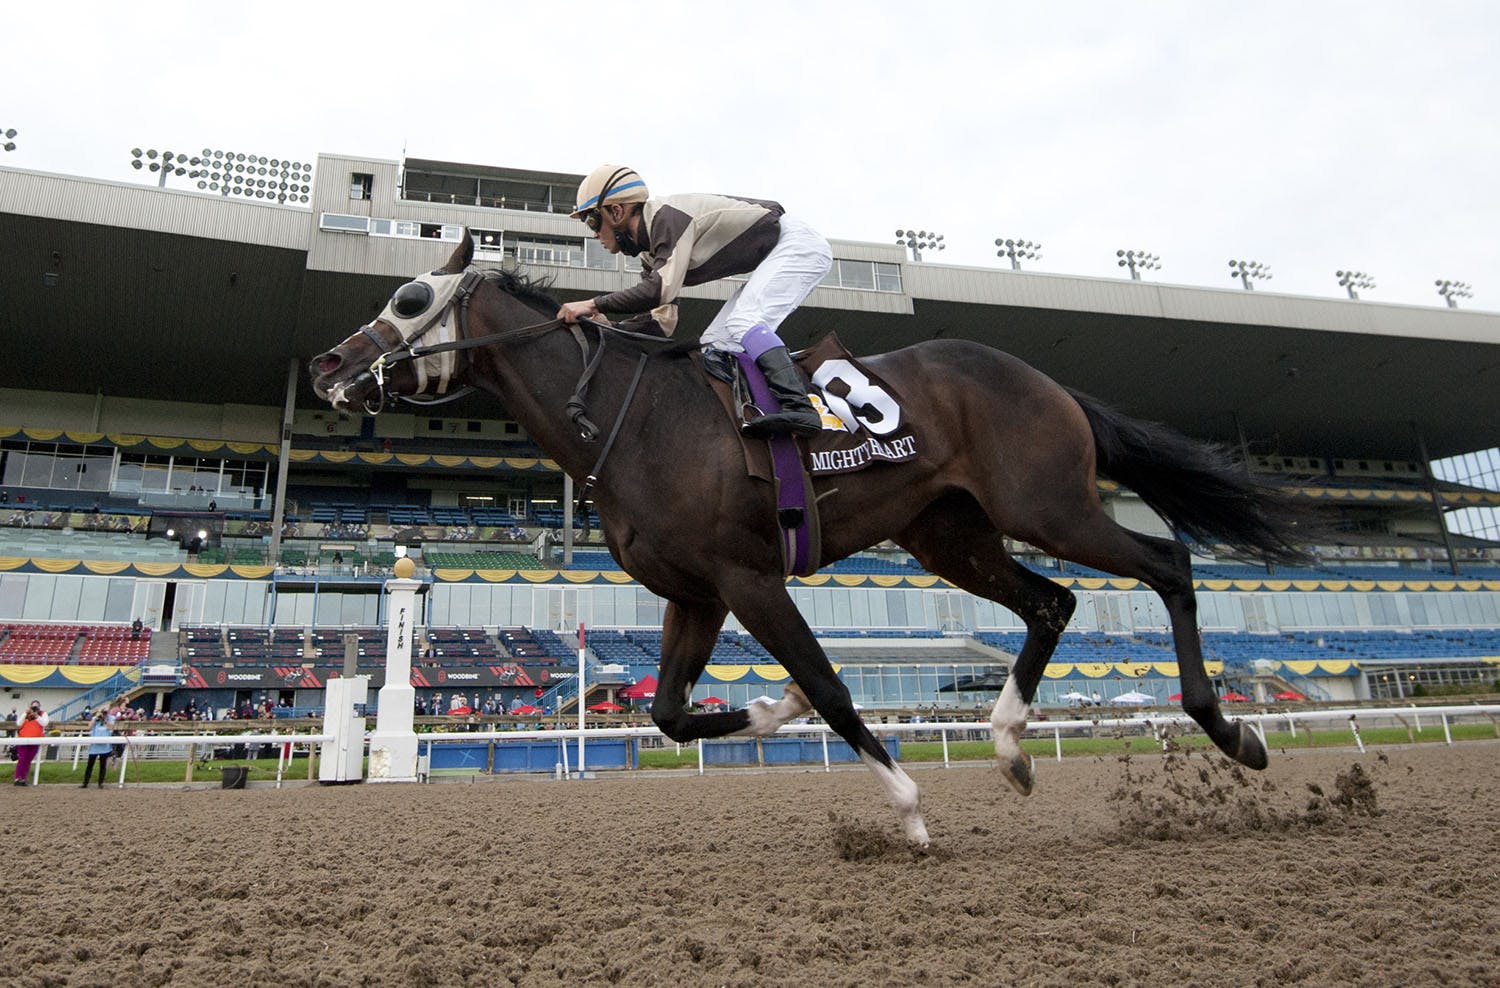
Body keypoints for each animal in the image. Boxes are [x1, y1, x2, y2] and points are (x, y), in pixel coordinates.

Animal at [310, 232, 1306, 847]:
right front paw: (770, 708)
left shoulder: (750, 578)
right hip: (950, 537)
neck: (634, 420)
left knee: (1167, 563)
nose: (326, 364)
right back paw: (1012, 746)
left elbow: (828, 684)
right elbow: (670, 713)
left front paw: (907, 805)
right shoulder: (695, 593)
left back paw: (1231, 731)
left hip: (1047, 505)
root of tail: (1045, 380)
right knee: (1054, 601)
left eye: (409, 297)